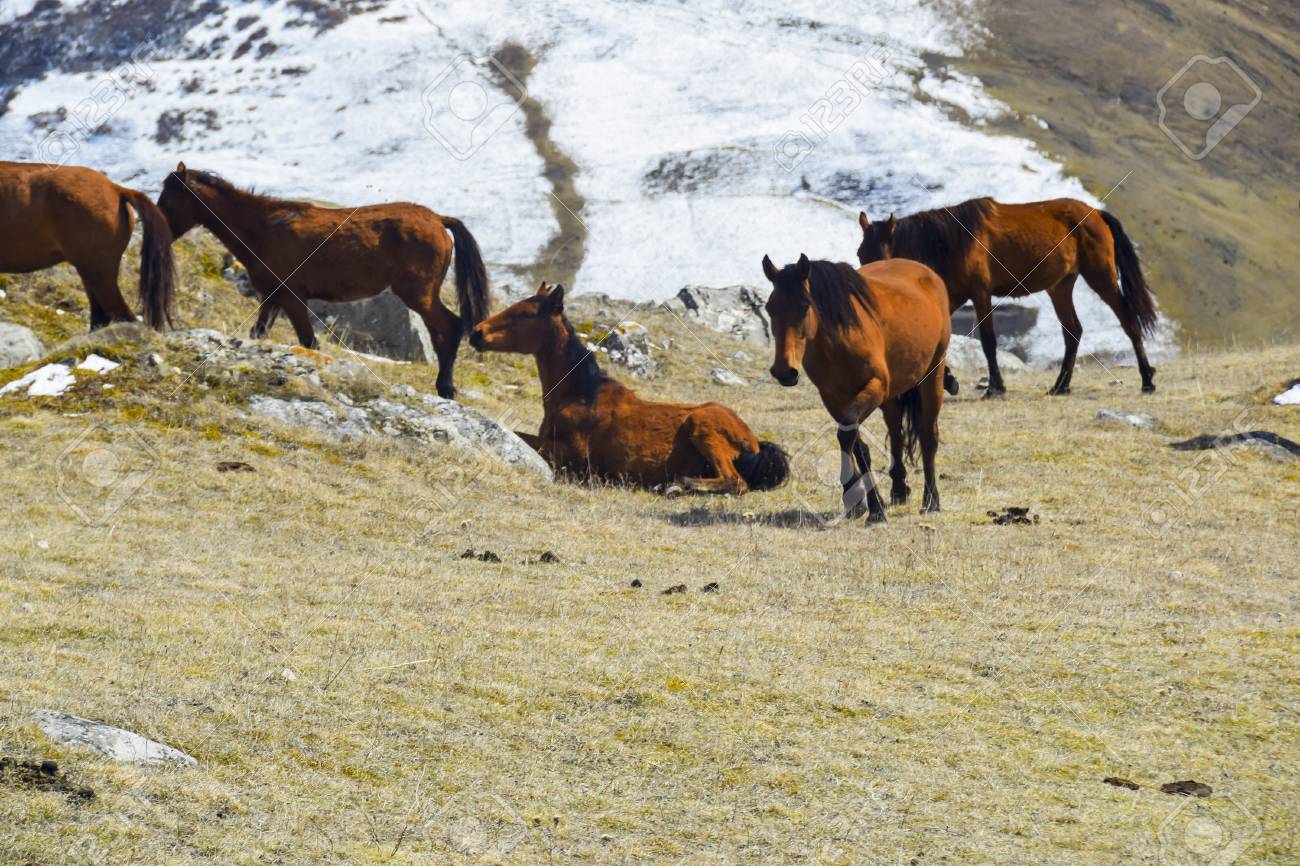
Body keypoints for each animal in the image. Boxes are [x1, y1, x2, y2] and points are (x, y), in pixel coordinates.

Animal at [156, 163, 490, 399]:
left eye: (168, 200)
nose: (157, 234)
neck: (264, 228)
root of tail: (438, 219)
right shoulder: (272, 298)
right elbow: (259, 334)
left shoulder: (292, 298)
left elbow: (309, 342)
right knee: (440, 333)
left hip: (418, 294)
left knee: (451, 326)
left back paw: (446, 388)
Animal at [468, 282, 790, 494]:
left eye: (525, 314)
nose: (476, 333)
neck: (580, 396)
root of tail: (756, 443)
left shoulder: (572, 458)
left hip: (703, 426)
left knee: (736, 482)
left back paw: (674, 485)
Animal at [761, 254, 950, 523]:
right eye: (770, 308)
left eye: (805, 305)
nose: (784, 371)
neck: (839, 341)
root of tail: (928, 273)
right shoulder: (834, 398)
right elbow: (858, 446)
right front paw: (862, 503)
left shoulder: (874, 387)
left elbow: (848, 436)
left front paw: (872, 508)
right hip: (889, 396)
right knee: (896, 432)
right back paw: (899, 490)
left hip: (933, 373)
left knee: (927, 436)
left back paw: (931, 501)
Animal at [856, 197, 1158, 396]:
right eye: (861, 254)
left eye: (885, 254)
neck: (952, 241)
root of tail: (1095, 213)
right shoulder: (955, 297)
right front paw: (950, 380)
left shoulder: (980, 294)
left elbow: (988, 341)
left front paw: (995, 386)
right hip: (1060, 287)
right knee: (1072, 331)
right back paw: (1060, 386)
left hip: (1101, 277)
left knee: (1128, 321)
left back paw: (1147, 379)